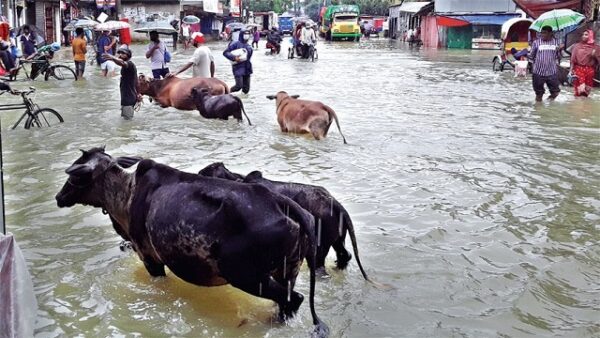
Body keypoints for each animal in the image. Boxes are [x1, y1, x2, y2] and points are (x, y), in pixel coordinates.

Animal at [55, 147, 328, 336]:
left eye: (76, 175)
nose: (59, 197)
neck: (126, 192)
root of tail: (285, 204)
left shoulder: (149, 258)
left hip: (247, 276)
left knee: (294, 299)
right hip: (287, 271)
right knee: (287, 303)